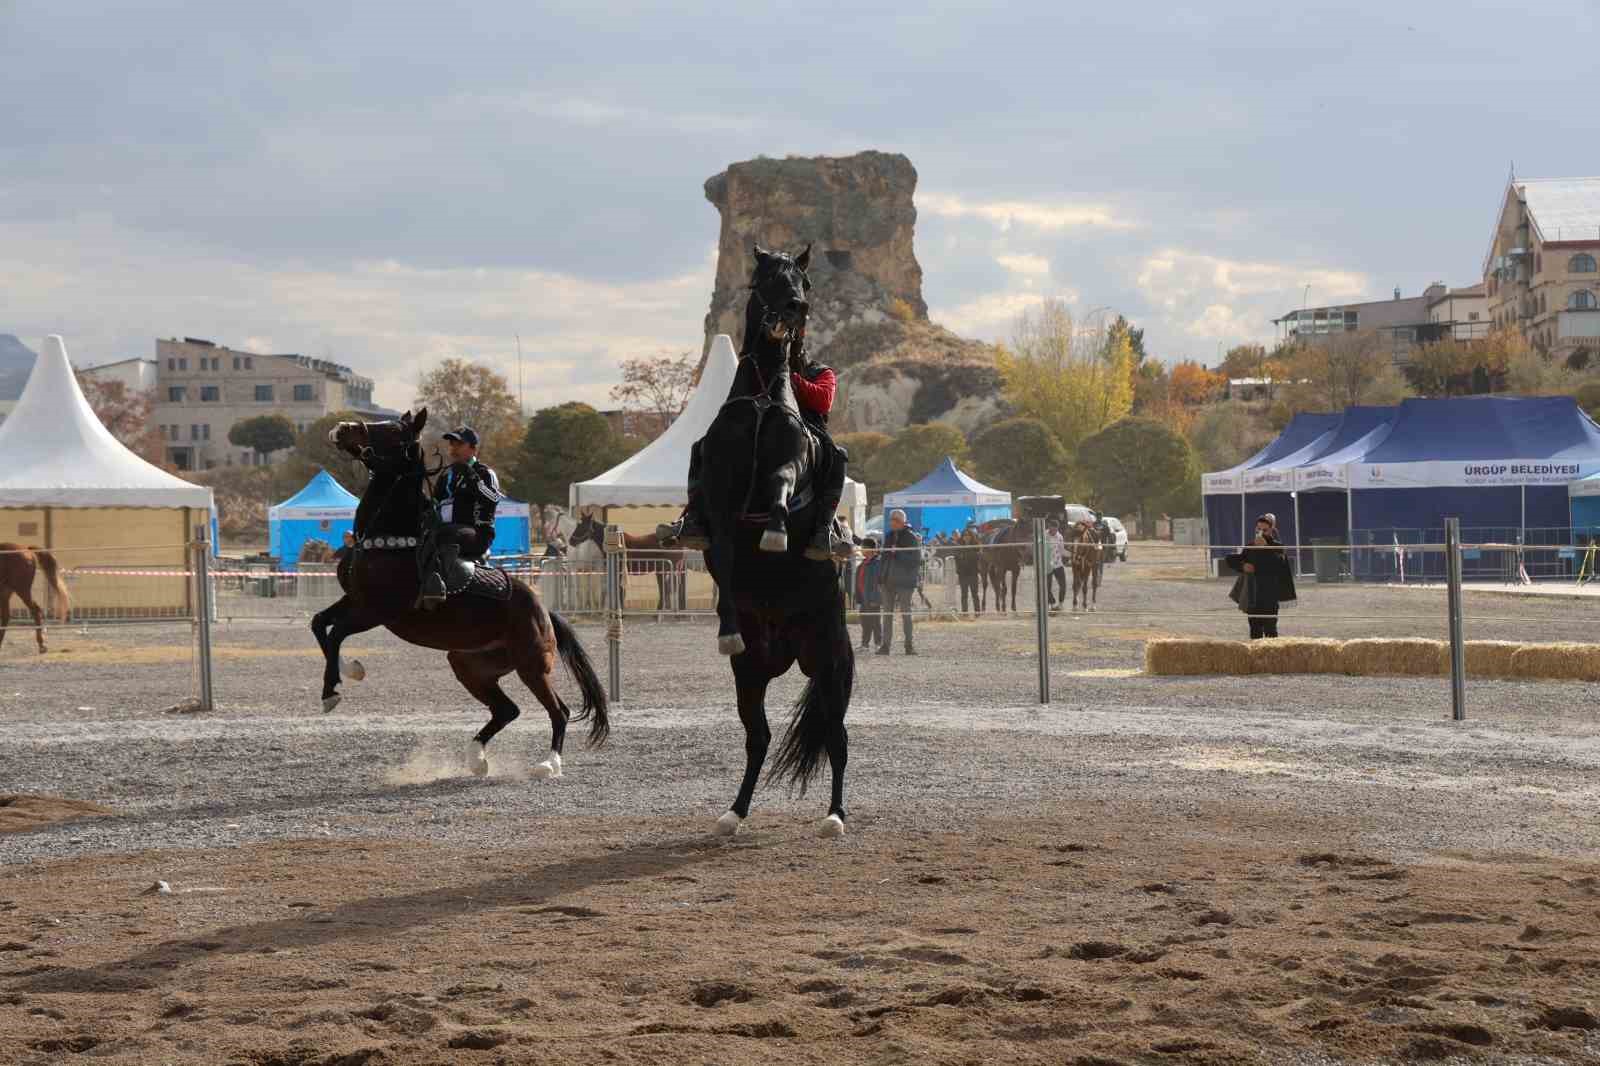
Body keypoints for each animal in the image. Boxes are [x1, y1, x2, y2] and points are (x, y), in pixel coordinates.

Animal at [308, 409, 608, 777]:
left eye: (392, 430)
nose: (343, 427)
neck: (389, 538)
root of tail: (543, 611)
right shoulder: (354, 600)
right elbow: (320, 625)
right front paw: (348, 672)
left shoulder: (376, 611)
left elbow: (336, 634)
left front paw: (333, 691)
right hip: (469, 665)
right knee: (507, 710)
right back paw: (476, 759)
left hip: (532, 667)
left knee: (558, 711)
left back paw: (548, 764)